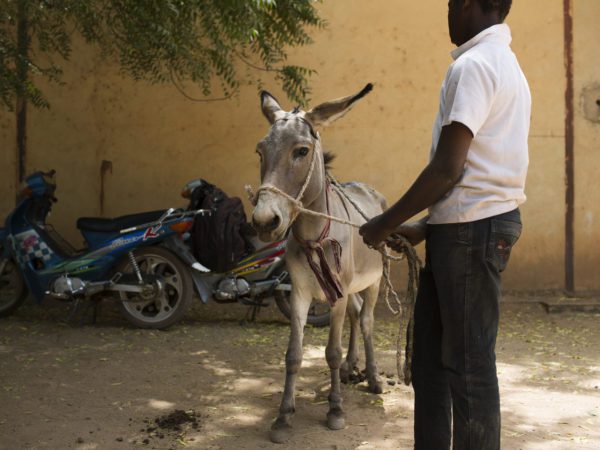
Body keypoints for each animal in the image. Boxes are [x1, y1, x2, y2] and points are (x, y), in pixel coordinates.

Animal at [251, 84, 387, 443]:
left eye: (301, 151)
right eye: (260, 151)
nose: (264, 221)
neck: (313, 235)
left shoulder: (335, 295)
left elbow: (331, 352)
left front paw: (335, 410)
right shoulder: (299, 293)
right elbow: (293, 355)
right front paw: (283, 417)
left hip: (373, 282)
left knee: (366, 321)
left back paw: (372, 377)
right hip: (348, 287)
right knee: (355, 316)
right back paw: (353, 368)